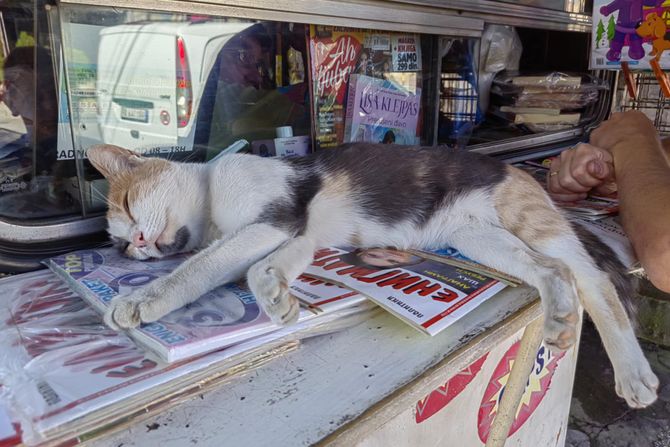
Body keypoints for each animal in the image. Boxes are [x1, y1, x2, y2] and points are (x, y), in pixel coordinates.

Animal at [88, 144, 660, 410]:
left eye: (127, 202)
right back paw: (560, 319)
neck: (211, 210)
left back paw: (631, 372)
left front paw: (140, 301)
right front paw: (277, 296)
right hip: (479, 238)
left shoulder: (277, 216)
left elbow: (202, 265)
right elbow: (258, 267)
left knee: (595, 282)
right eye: (120, 247)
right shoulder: (295, 233)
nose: (138, 246)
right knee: (554, 270)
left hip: (529, 221)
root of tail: (520, 170)